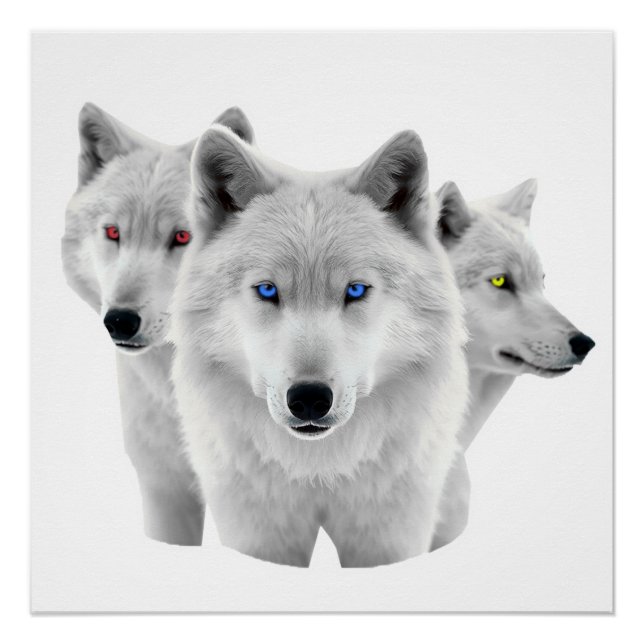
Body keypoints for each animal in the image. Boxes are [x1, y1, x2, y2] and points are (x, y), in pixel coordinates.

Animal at [170, 125, 469, 567]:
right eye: (267, 290)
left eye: (356, 290)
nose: (309, 398)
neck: (319, 468)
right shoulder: (257, 531)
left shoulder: (390, 533)